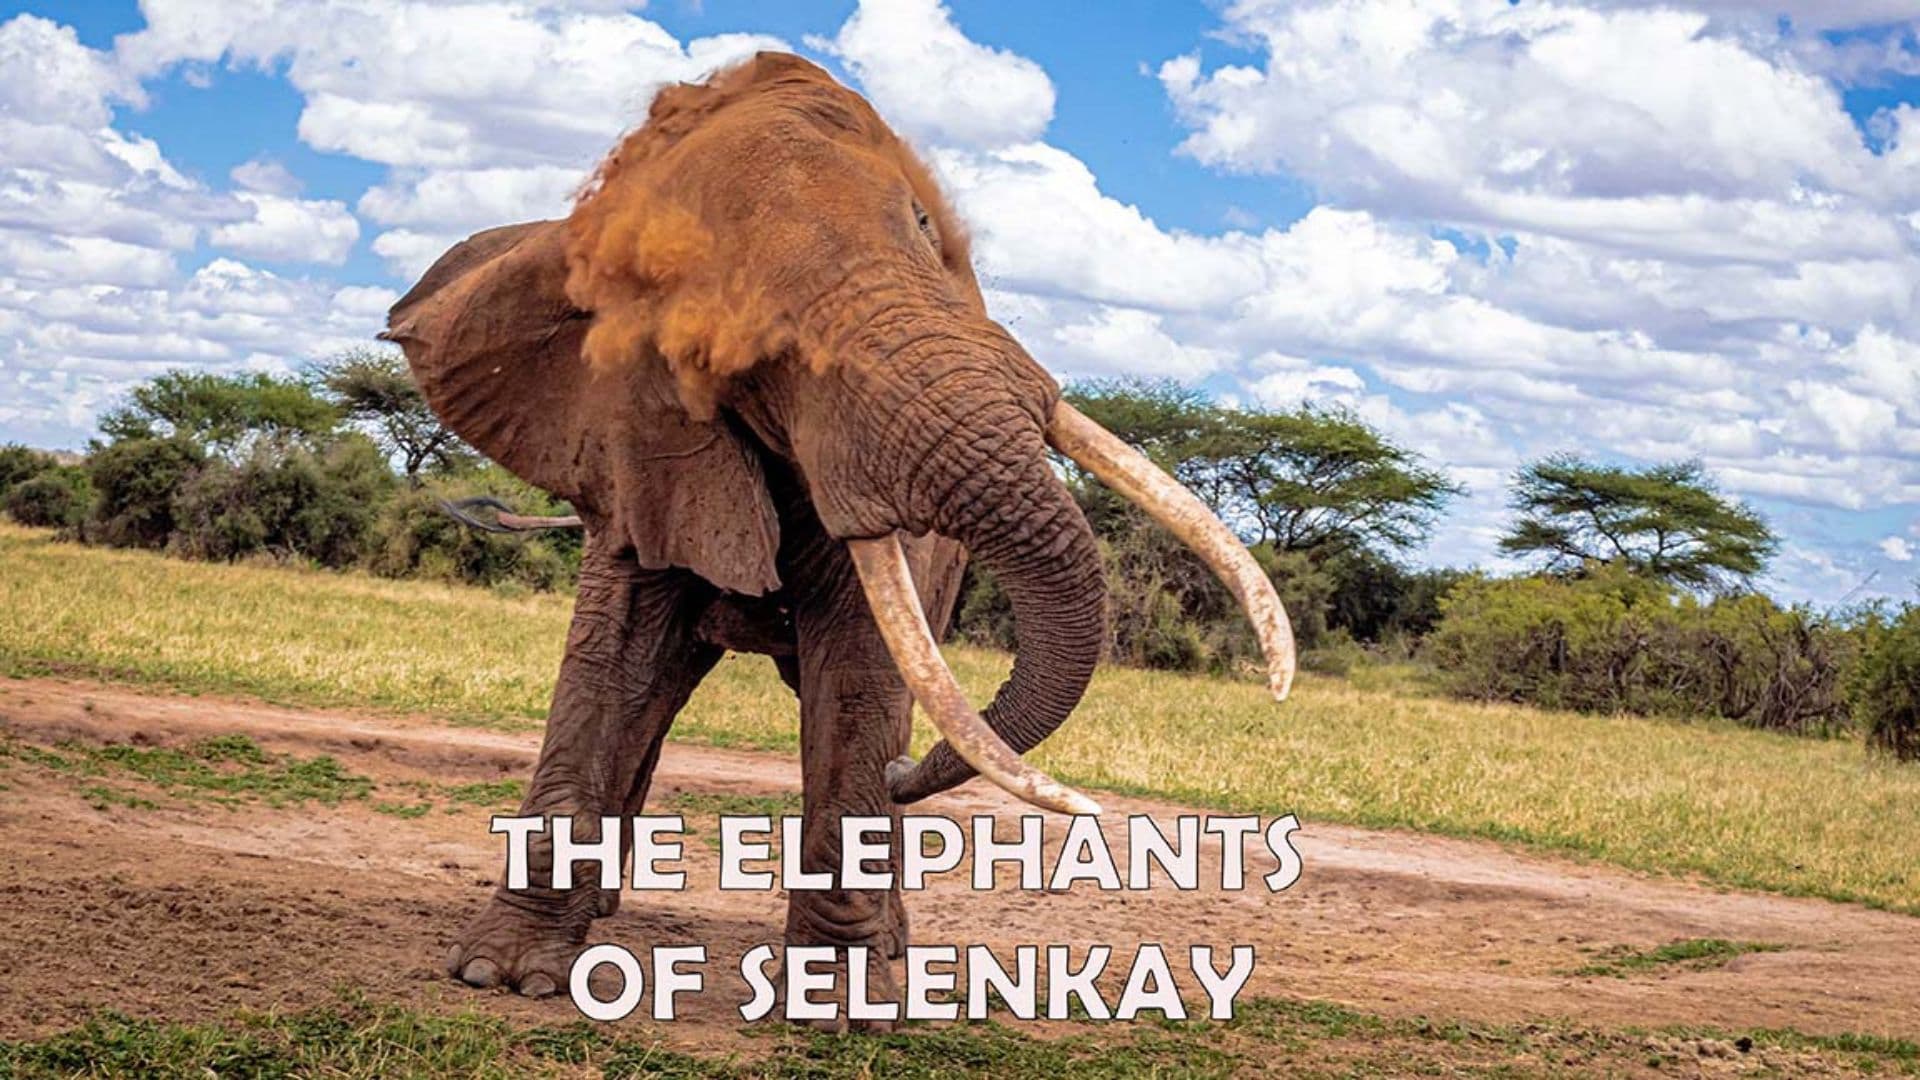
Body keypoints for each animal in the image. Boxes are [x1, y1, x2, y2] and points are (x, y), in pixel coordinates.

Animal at [381, 51, 1295, 1022]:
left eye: (925, 226)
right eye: (733, 349)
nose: (904, 776)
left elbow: (858, 672)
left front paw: (844, 1010)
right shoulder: (630, 445)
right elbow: (612, 662)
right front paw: (505, 975)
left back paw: (890, 940)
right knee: (659, 690)